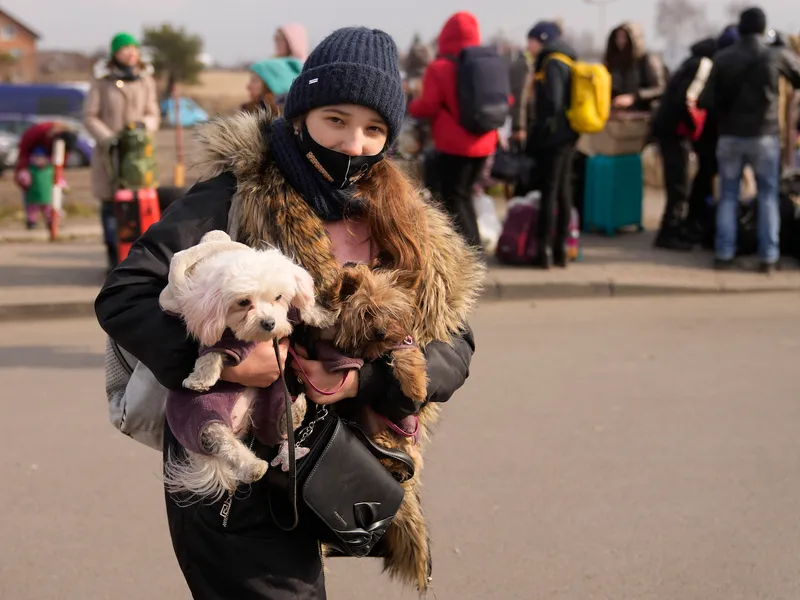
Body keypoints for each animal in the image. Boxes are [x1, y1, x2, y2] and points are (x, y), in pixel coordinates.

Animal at [158, 231, 332, 502]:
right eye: (243, 302)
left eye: (278, 297)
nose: (270, 323)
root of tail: (238, 422)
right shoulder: (220, 336)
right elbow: (210, 352)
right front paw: (201, 378)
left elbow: (301, 310)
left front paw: (320, 315)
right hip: (201, 416)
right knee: (225, 444)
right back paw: (253, 466)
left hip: (270, 396)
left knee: (276, 425)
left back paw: (295, 412)